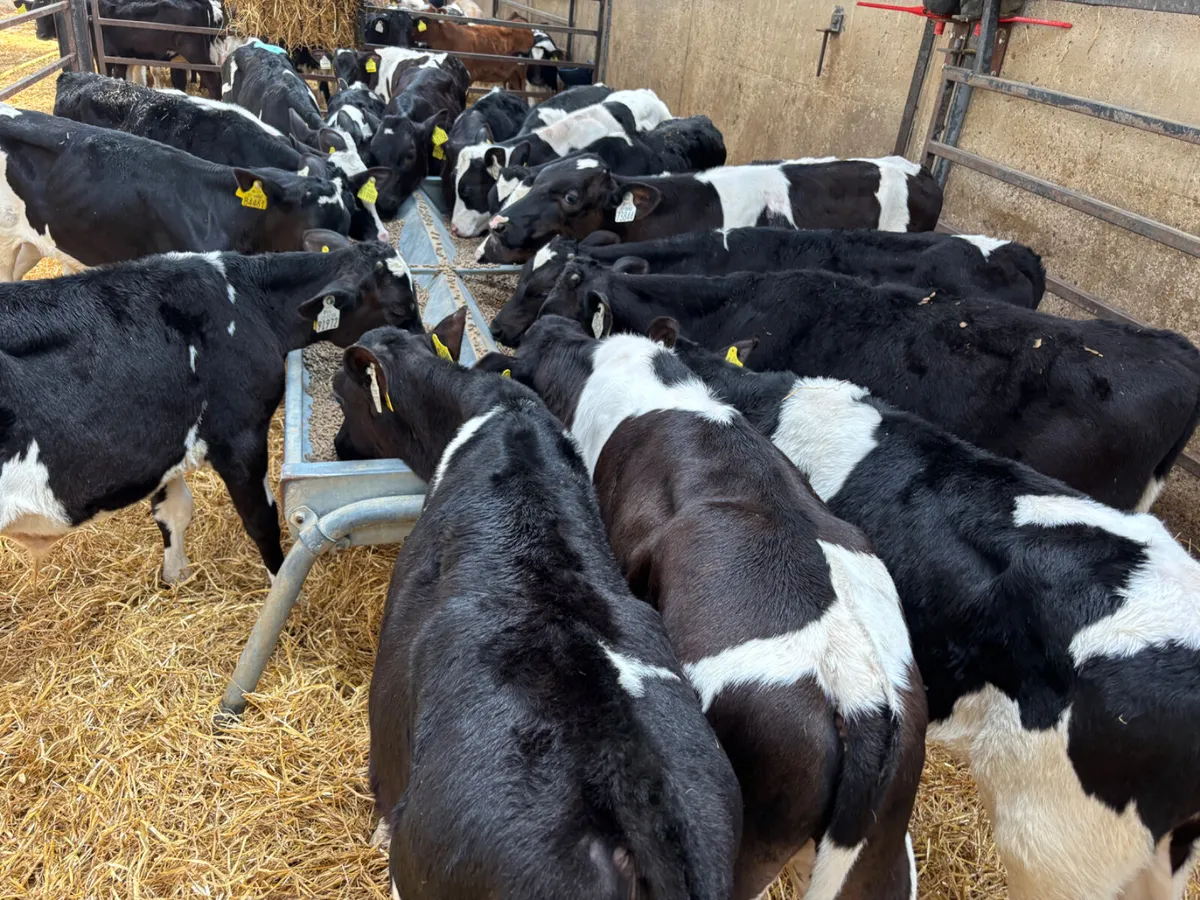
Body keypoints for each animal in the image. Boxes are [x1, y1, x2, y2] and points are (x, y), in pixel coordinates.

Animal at [0, 232, 419, 586]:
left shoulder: (163, 442)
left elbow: (173, 510)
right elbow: (262, 520)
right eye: (400, 309)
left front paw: (175, 576)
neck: (247, 303)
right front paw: (281, 587)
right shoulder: (239, 437)